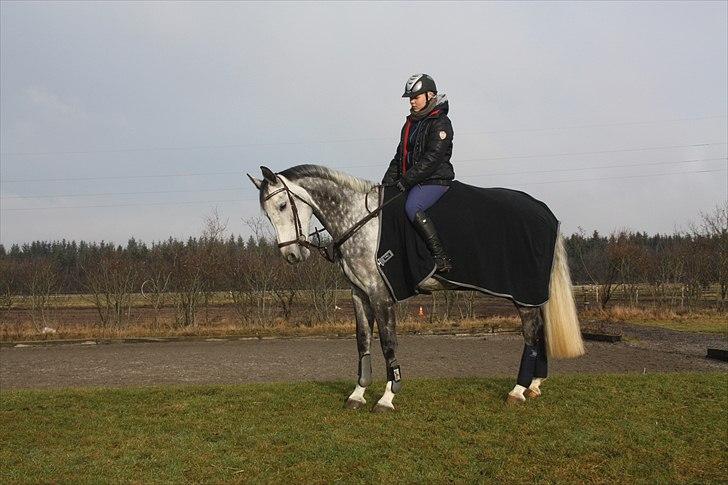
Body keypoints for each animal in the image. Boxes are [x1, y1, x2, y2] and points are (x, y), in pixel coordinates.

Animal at [250, 164, 584, 410]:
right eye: (267, 213)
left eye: (282, 205)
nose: (292, 255)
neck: (361, 220)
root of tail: (543, 211)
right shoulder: (359, 294)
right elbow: (363, 342)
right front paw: (357, 394)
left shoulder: (381, 294)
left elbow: (388, 343)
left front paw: (387, 396)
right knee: (539, 331)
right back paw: (535, 385)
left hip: (523, 294)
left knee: (531, 333)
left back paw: (518, 389)